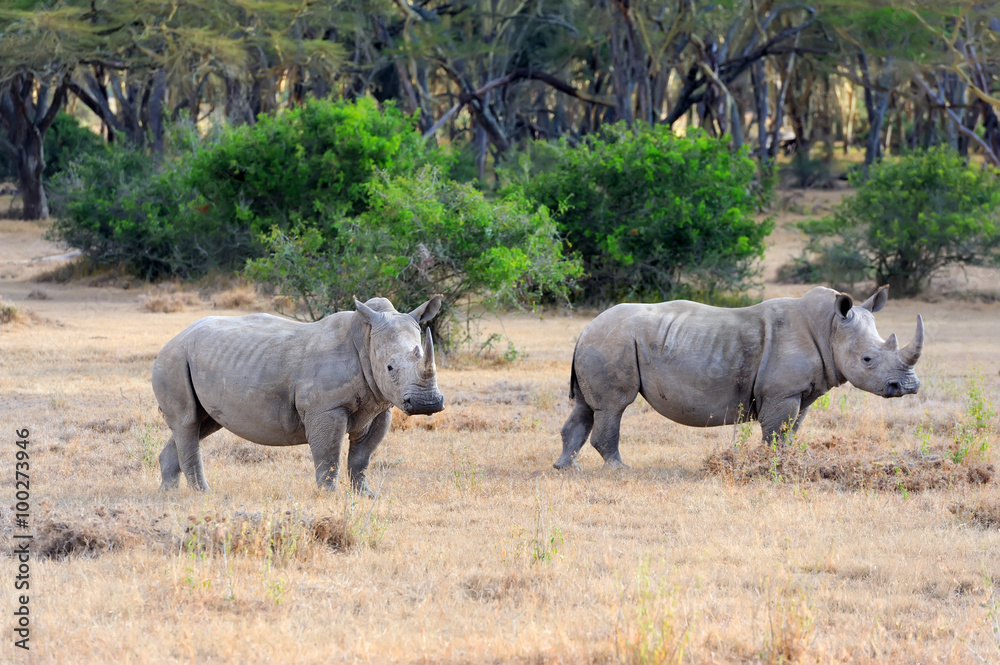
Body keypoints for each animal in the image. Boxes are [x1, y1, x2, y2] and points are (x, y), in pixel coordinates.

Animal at [152, 296, 445, 494]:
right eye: (390, 368)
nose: (427, 403)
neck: (366, 338)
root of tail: (173, 339)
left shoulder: (380, 406)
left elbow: (362, 458)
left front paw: (366, 496)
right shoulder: (326, 409)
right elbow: (328, 455)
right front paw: (329, 495)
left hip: (191, 359)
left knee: (201, 424)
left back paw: (169, 493)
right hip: (174, 359)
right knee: (188, 422)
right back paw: (203, 494)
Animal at [554, 286, 923, 470]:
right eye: (868, 359)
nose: (908, 387)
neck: (830, 327)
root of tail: (584, 329)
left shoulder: (801, 392)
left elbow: (791, 431)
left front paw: (785, 465)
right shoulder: (782, 392)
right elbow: (776, 432)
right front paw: (771, 469)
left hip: (601, 343)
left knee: (586, 407)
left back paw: (566, 469)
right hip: (612, 342)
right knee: (613, 407)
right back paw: (620, 470)